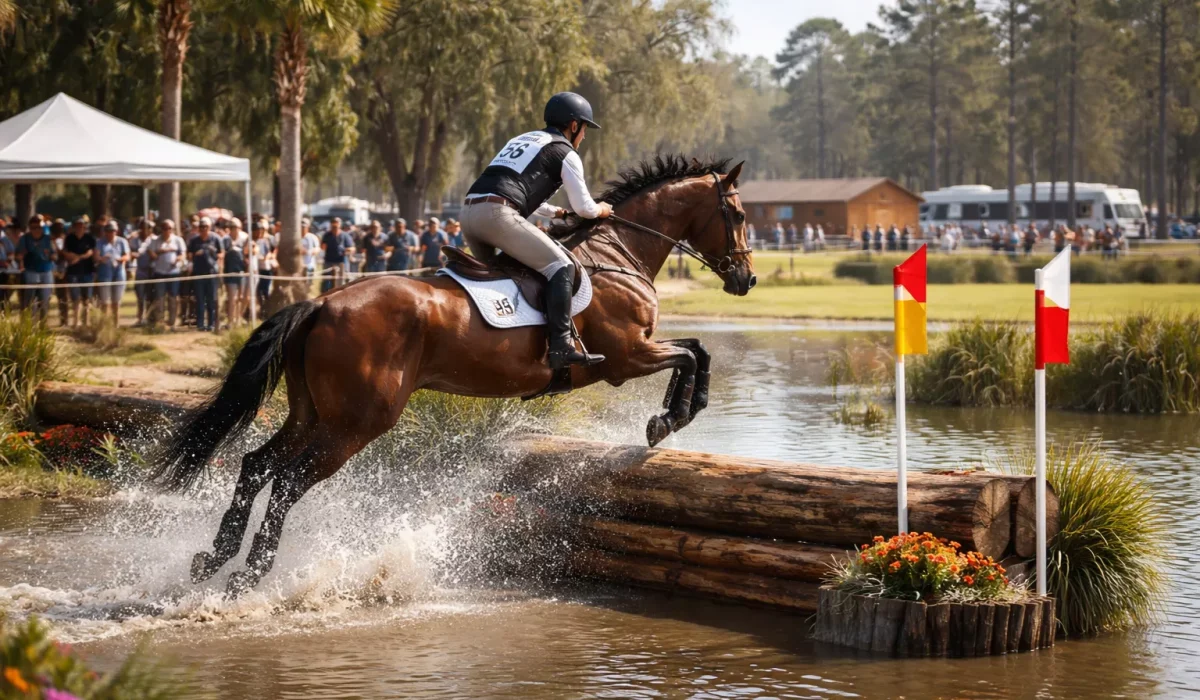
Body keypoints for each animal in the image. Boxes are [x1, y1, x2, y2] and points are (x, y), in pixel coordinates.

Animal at [153, 154, 756, 595]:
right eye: (740, 215)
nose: (746, 280)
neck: (620, 252)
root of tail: (321, 303)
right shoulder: (628, 356)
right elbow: (692, 354)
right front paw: (670, 418)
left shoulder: (640, 350)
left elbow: (697, 349)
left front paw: (673, 416)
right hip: (356, 424)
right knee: (286, 481)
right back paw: (251, 571)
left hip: (313, 411)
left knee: (257, 465)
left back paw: (213, 557)